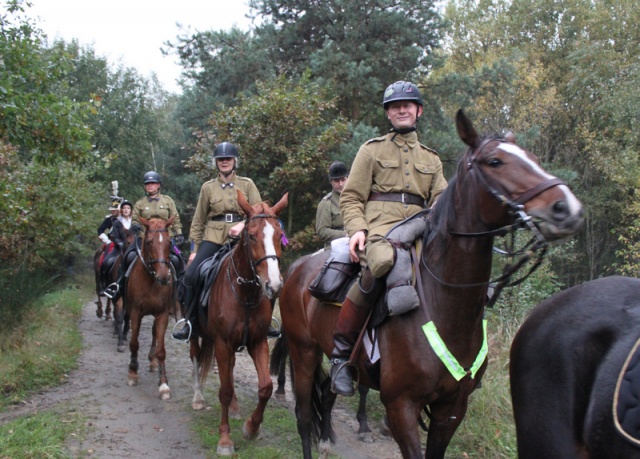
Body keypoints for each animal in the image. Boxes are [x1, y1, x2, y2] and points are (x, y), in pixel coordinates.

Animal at [125, 217, 176, 400]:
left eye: (169, 242)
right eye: (148, 242)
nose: (164, 277)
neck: (151, 281)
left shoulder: (162, 314)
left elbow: (161, 350)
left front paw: (164, 385)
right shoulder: (135, 313)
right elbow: (134, 343)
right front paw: (132, 373)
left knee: (154, 333)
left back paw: (153, 361)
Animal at [188, 190, 288, 456]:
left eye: (279, 235)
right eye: (251, 236)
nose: (274, 285)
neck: (245, 292)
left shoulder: (257, 342)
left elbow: (265, 387)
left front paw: (251, 428)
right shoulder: (222, 343)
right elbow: (223, 391)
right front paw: (225, 439)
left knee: (230, 370)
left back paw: (234, 409)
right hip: (196, 334)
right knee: (196, 358)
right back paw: (198, 398)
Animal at [272, 109, 584, 458]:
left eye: (533, 158)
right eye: (494, 161)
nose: (566, 208)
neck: (445, 305)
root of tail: (298, 268)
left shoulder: (452, 408)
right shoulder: (401, 406)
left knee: (326, 394)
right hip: (304, 352)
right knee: (303, 415)